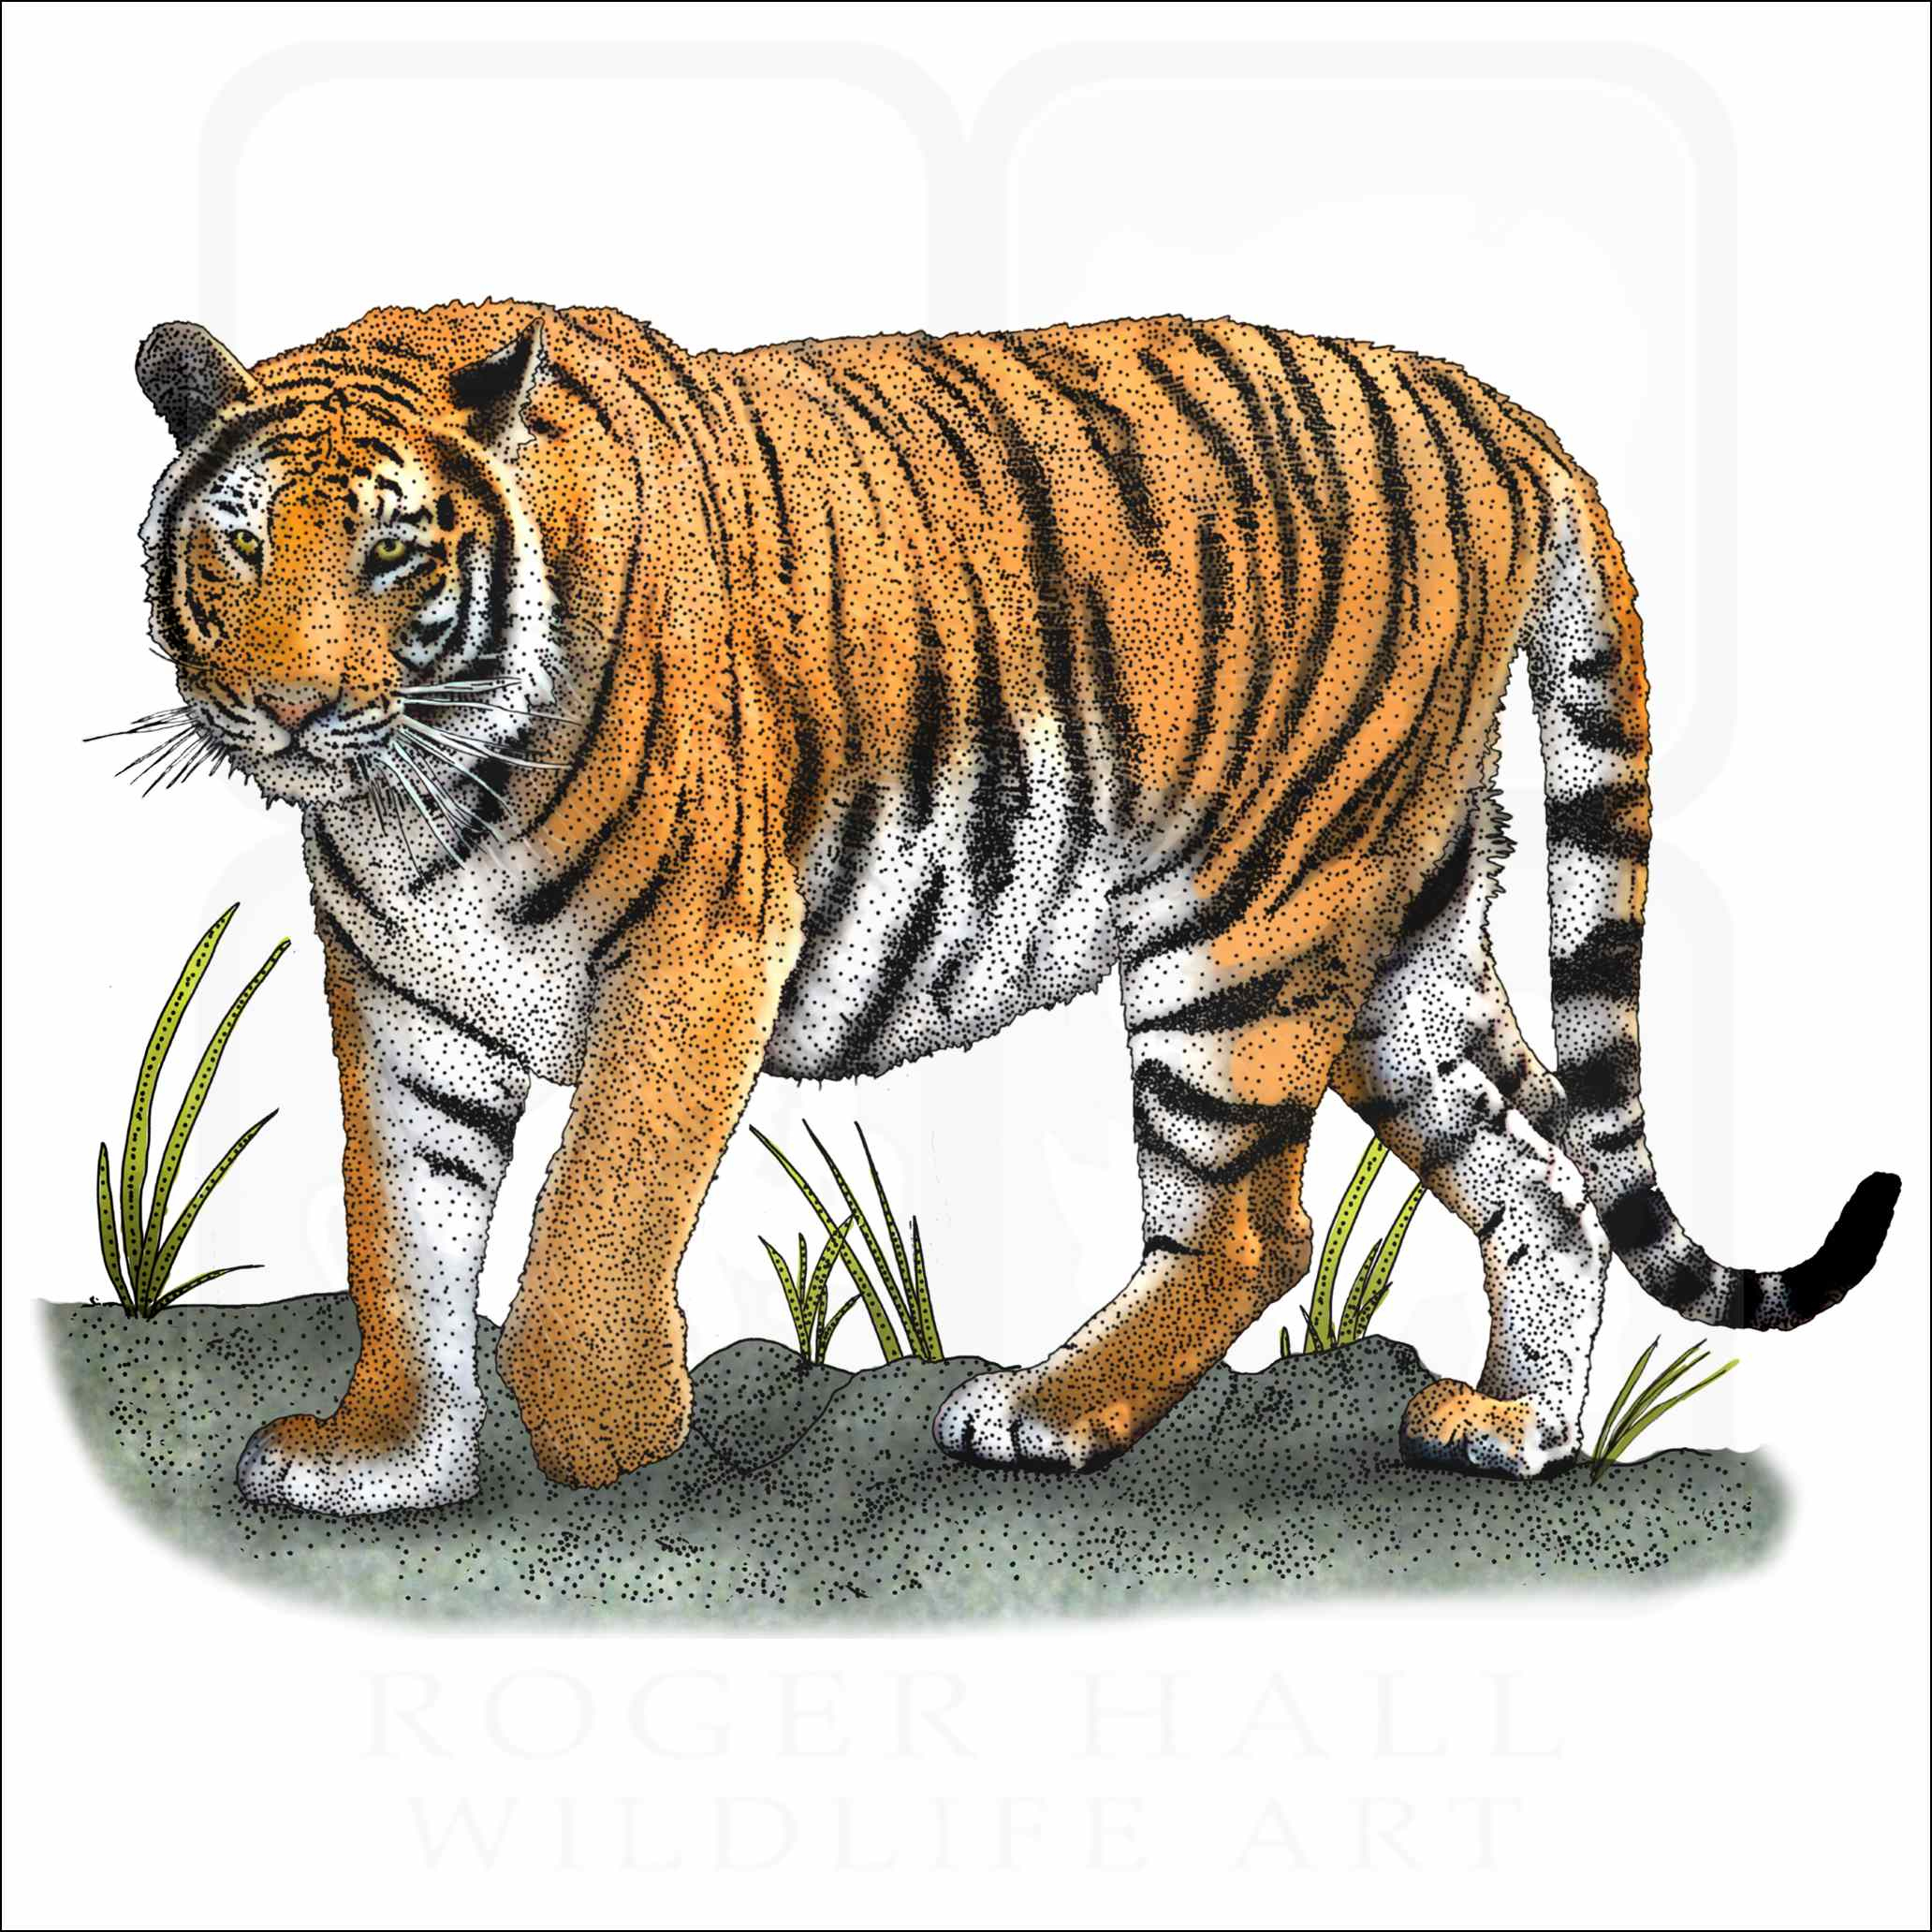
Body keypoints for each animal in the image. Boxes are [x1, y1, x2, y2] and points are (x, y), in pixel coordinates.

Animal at [130, 301, 1900, 1514]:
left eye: (392, 560)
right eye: (238, 544)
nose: (287, 708)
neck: (411, 797)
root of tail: (1496, 408)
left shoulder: (696, 953)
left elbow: (584, 1233)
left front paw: (608, 1434)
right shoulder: (402, 994)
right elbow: (404, 1232)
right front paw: (390, 1459)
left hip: (1249, 918)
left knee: (1250, 1224)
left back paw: (1039, 1410)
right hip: (1397, 944)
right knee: (1543, 1172)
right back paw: (1513, 1426)